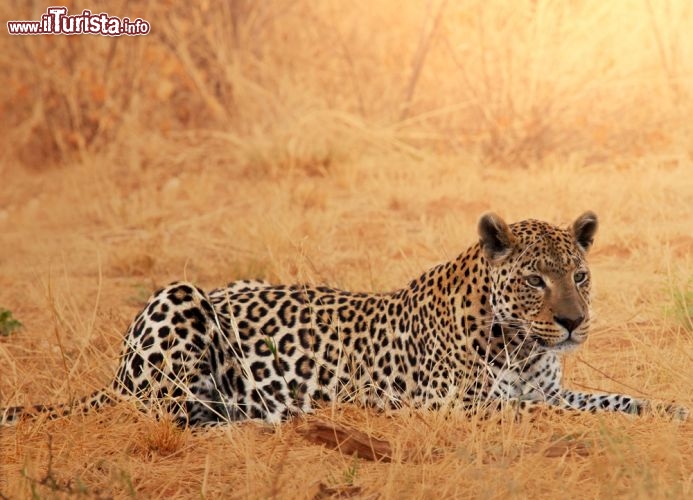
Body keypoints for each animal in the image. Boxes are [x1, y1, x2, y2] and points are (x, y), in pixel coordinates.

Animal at [1, 211, 688, 426]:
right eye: (533, 280)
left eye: (579, 276)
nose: (574, 323)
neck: (522, 347)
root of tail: (115, 374)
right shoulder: (464, 408)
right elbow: (543, 414)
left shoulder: (550, 387)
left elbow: (613, 400)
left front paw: (671, 409)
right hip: (180, 297)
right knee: (177, 414)